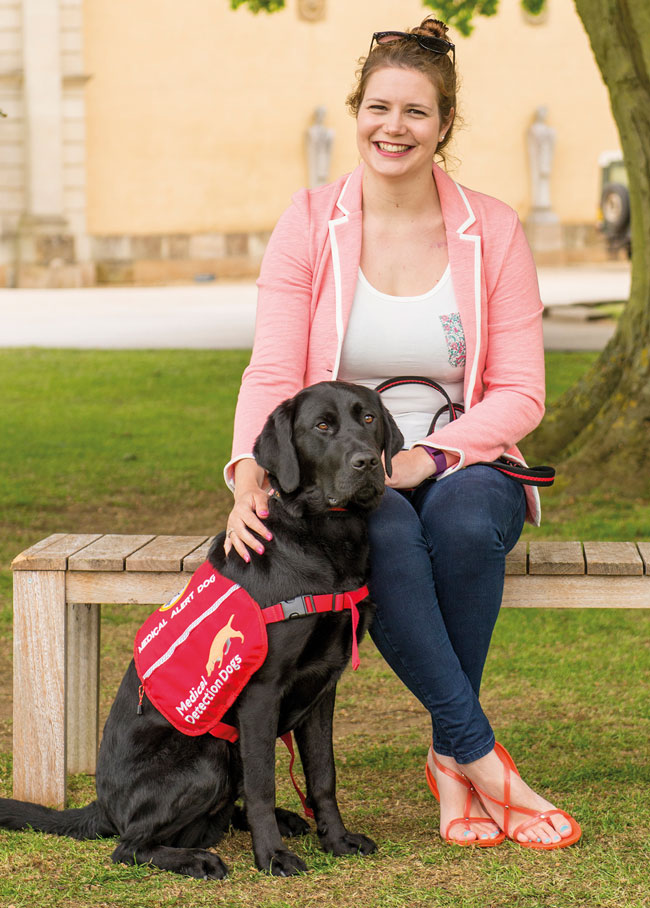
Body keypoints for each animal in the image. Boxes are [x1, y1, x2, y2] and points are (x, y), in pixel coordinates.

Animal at [0, 382, 402, 880]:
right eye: (322, 426)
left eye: (368, 419)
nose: (366, 462)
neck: (324, 540)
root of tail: (103, 808)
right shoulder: (261, 692)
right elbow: (264, 784)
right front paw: (272, 857)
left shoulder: (323, 687)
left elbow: (323, 776)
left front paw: (338, 840)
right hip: (209, 759)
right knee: (130, 846)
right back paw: (199, 859)